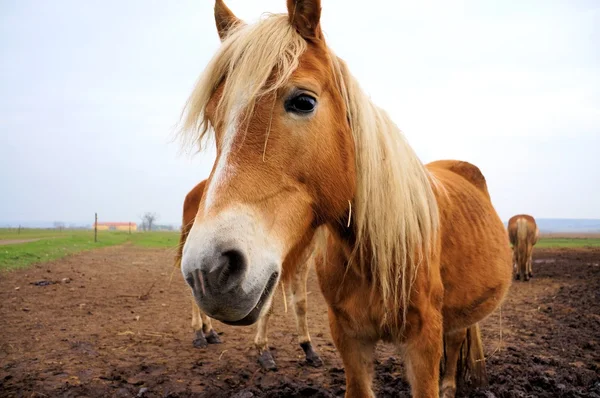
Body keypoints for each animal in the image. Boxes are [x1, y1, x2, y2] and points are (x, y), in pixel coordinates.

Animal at [173, 180, 324, 370]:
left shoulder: (304, 257)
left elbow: (301, 304)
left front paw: (308, 348)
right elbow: (268, 307)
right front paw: (263, 351)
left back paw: (210, 332)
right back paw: (199, 334)